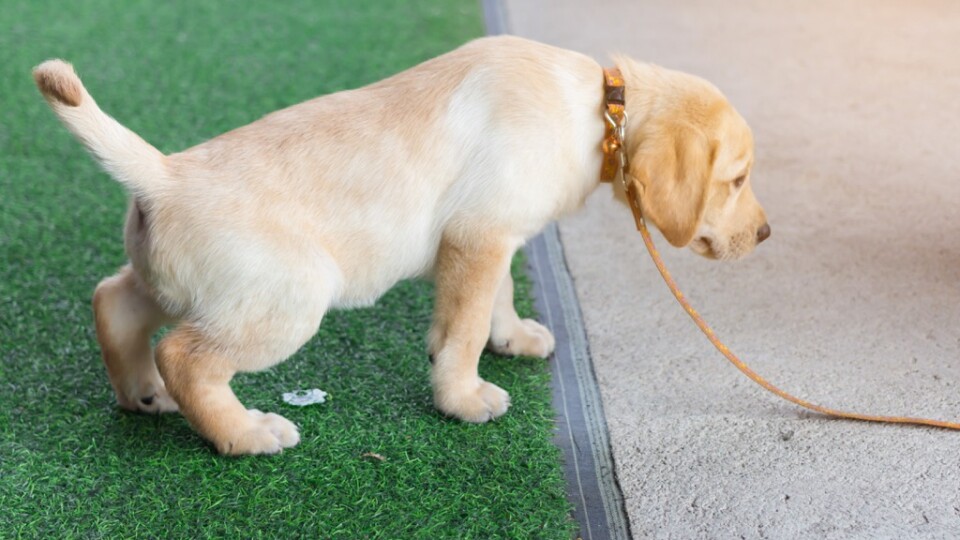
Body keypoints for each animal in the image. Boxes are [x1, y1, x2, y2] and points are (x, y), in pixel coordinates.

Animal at [33, 34, 768, 456]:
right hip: (286, 301)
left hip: (176, 281)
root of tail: (163, 175)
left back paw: (141, 394)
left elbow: (495, 298)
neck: (600, 110)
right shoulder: (479, 235)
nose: (765, 233)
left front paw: (510, 338)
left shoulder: (490, 236)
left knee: (114, 301)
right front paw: (463, 397)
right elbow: (464, 327)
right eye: (737, 179)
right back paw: (246, 433)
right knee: (187, 357)